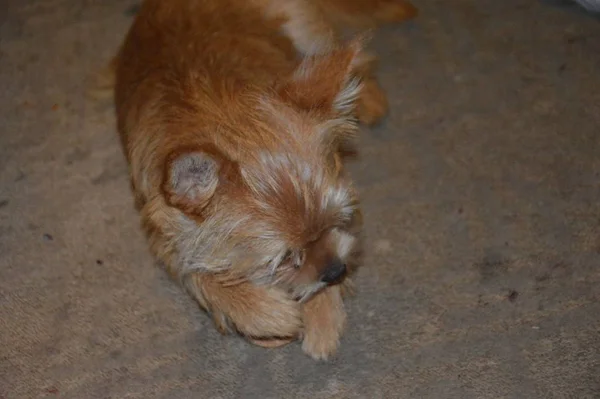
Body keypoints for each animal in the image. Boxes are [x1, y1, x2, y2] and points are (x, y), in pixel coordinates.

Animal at [113, 0, 418, 360]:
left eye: (338, 219)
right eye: (284, 258)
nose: (337, 271)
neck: (212, 109)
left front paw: (323, 316)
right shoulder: (165, 240)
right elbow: (202, 276)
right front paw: (267, 313)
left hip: (306, 29)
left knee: (353, 58)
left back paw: (368, 98)